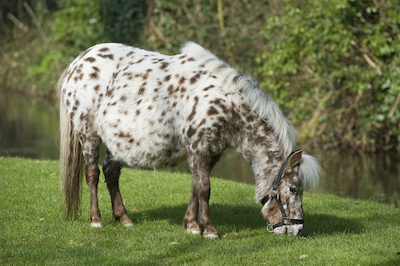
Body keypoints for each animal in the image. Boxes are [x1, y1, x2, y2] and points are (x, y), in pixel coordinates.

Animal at [58, 42, 322, 239]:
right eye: (293, 188)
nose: (297, 230)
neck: (223, 103)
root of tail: (77, 62)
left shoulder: (211, 153)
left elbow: (196, 187)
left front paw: (192, 225)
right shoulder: (197, 148)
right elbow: (204, 189)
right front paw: (209, 230)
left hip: (116, 142)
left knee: (111, 174)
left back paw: (123, 218)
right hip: (88, 134)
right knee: (92, 175)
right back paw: (96, 219)